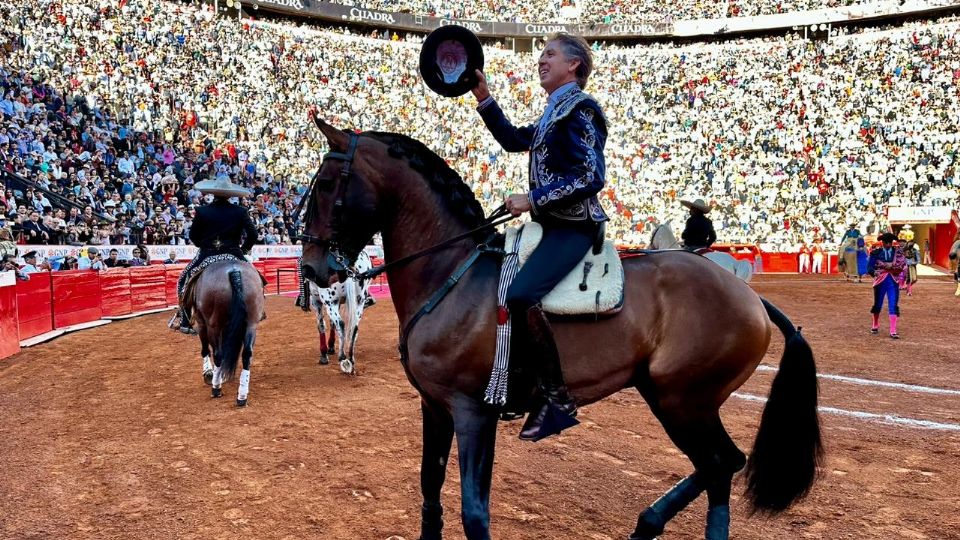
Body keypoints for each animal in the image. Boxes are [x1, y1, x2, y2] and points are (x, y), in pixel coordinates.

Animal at [189, 260, 264, 404]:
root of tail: (234, 271)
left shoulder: (201, 322)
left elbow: (205, 349)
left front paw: (208, 374)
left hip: (214, 325)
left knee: (218, 354)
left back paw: (216, 388)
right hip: (251, 324)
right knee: (247, 354)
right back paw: (242, 396)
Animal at [300, 119, 824, 540]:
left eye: (325, 184)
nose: (311, 269)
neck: (452, 273)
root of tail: (749, 296)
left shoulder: (473, 413)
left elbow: (474, 513)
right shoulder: (435, 406)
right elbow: (431, 491)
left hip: (684, 401)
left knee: (718, 468)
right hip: (670, 397)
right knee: (721, 464)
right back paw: (646, 524)